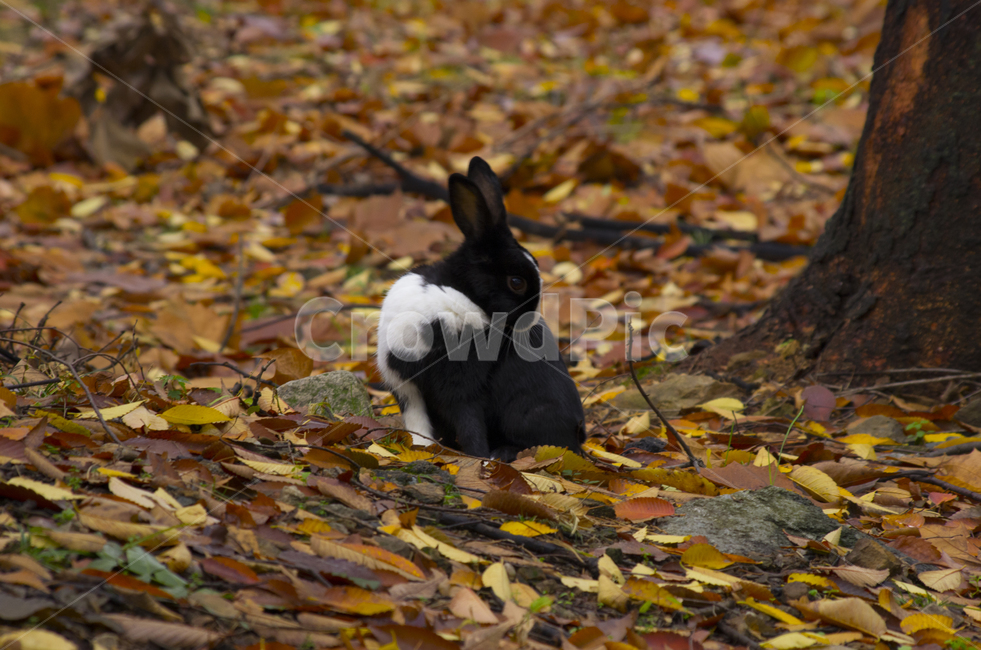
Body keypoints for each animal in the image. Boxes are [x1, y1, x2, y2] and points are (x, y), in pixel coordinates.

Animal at [376, 157, 585, 461]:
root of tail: (579, 434)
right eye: (517, 282)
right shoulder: (405, 383)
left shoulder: (461, 383)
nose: (532, 321)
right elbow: (420, 422)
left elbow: (469, 420)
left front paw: (478, 457)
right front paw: (422, 449)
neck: (458, 290)